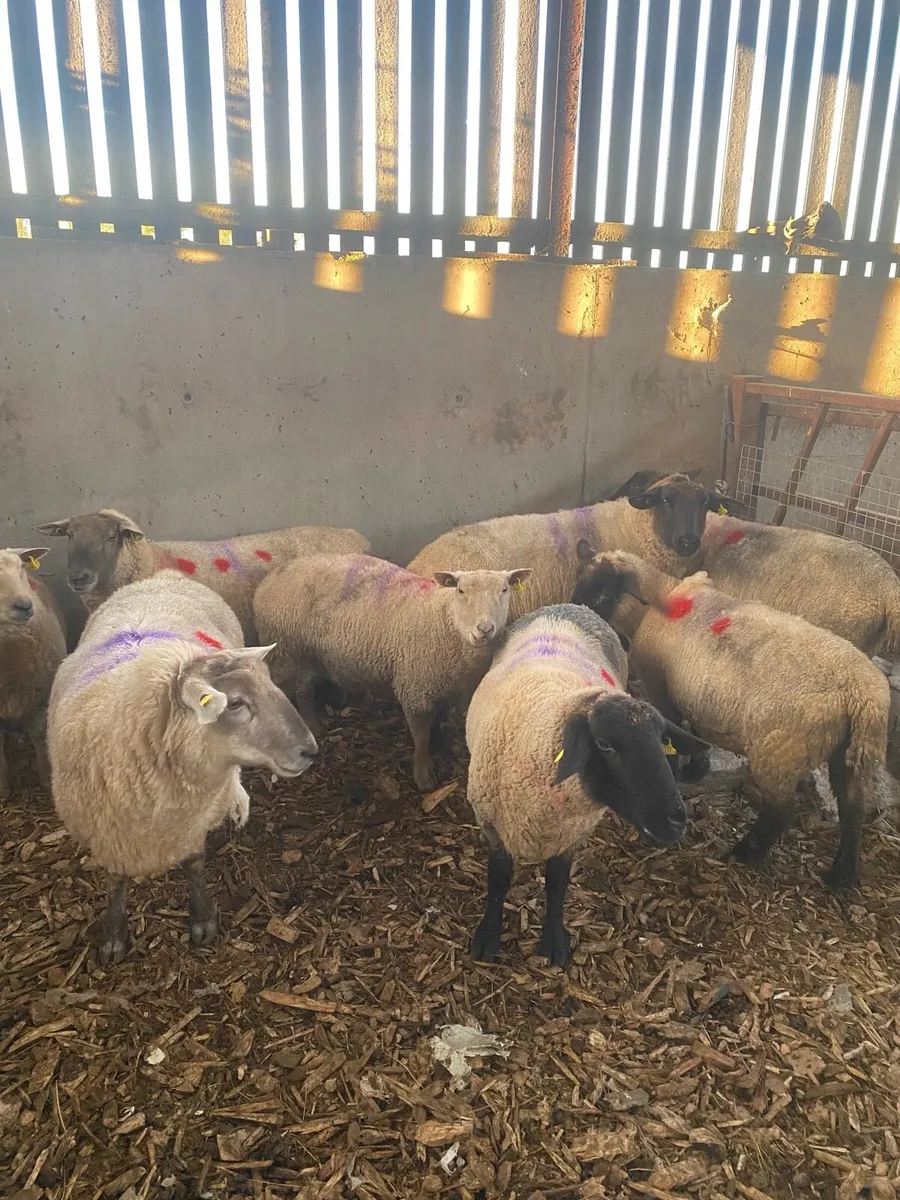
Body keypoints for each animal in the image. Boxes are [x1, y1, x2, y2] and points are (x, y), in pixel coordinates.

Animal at [0, 548, 67, 797]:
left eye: (21, 566)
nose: (24, 605)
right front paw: (3, 786)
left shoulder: (40, 694)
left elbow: (37, 733)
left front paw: (45, 777)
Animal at [49, 570, 318, 965]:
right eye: (234, 703)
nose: (309, 750)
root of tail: (164, 575)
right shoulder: (106, 828)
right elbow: (114, 880)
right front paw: (114, 935)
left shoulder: (192, 819)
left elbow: (193, 863)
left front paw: (202, 920)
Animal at [253, 553, 532, 791]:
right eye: (461, 590)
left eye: (505, 590)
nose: (484, 629)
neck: (446, 622)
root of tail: (268, 579)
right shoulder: (415, 687)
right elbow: (421, 736)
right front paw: (423, 775)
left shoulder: (442, 685)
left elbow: (438, 719)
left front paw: (441, 744)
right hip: (287, 650)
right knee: (293, 689)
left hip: (309, 654)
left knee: (305, 687)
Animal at [465, 604, 705, 966]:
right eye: (604, 744)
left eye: (662, 741)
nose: (676, 820)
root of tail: (572, 607)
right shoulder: (491, 824)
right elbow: (499, 879)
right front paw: (488, 937)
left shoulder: (573, 833)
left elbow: (557, 882)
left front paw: (554, 940)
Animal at [572, 549, 890, 889]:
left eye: (603, 589)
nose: (574, 608)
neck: (660, 602)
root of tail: (861, 693)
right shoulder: (695, 692)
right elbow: (697, 731)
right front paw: (698, 767)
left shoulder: (660, 686)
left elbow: (675, 732)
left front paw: (679, 773)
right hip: (852, 754)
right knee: (852, 808)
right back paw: (841, 875)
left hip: (780, 751)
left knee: (781, 811)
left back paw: (747, 852)